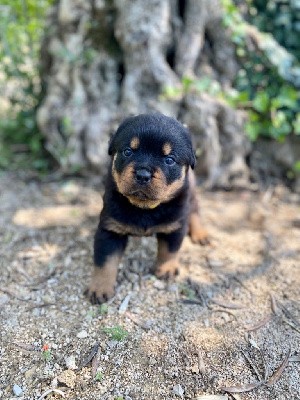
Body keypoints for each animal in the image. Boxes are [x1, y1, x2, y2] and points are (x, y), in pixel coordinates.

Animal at [85, 114, 209, 304]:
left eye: (169, 160)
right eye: (128, 151)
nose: (143, 174)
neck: (145, 208)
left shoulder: (175, 225)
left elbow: (170, 250)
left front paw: (166, 269)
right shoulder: (110, 229)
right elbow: (105, 261)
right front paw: (100, 288)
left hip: (192, 192)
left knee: (194, 209)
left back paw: (200, 233)